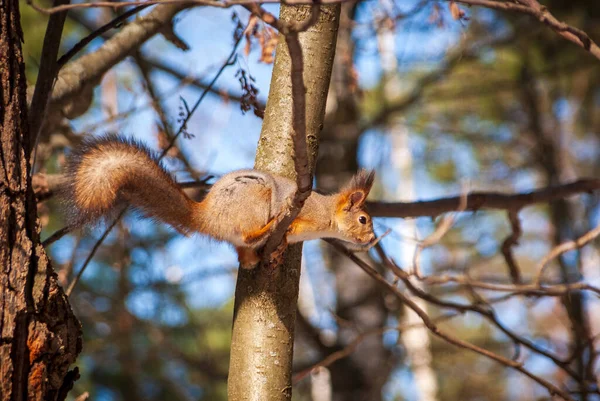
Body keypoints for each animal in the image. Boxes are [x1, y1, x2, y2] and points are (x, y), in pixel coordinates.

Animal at [61, 135, 378, 268]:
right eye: (363, 219)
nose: (373, 239)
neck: (326, 216)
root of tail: (207, 215)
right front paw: (287, 230)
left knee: (243, 250)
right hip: (255, 199)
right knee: (248, 234)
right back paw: (269, 229)